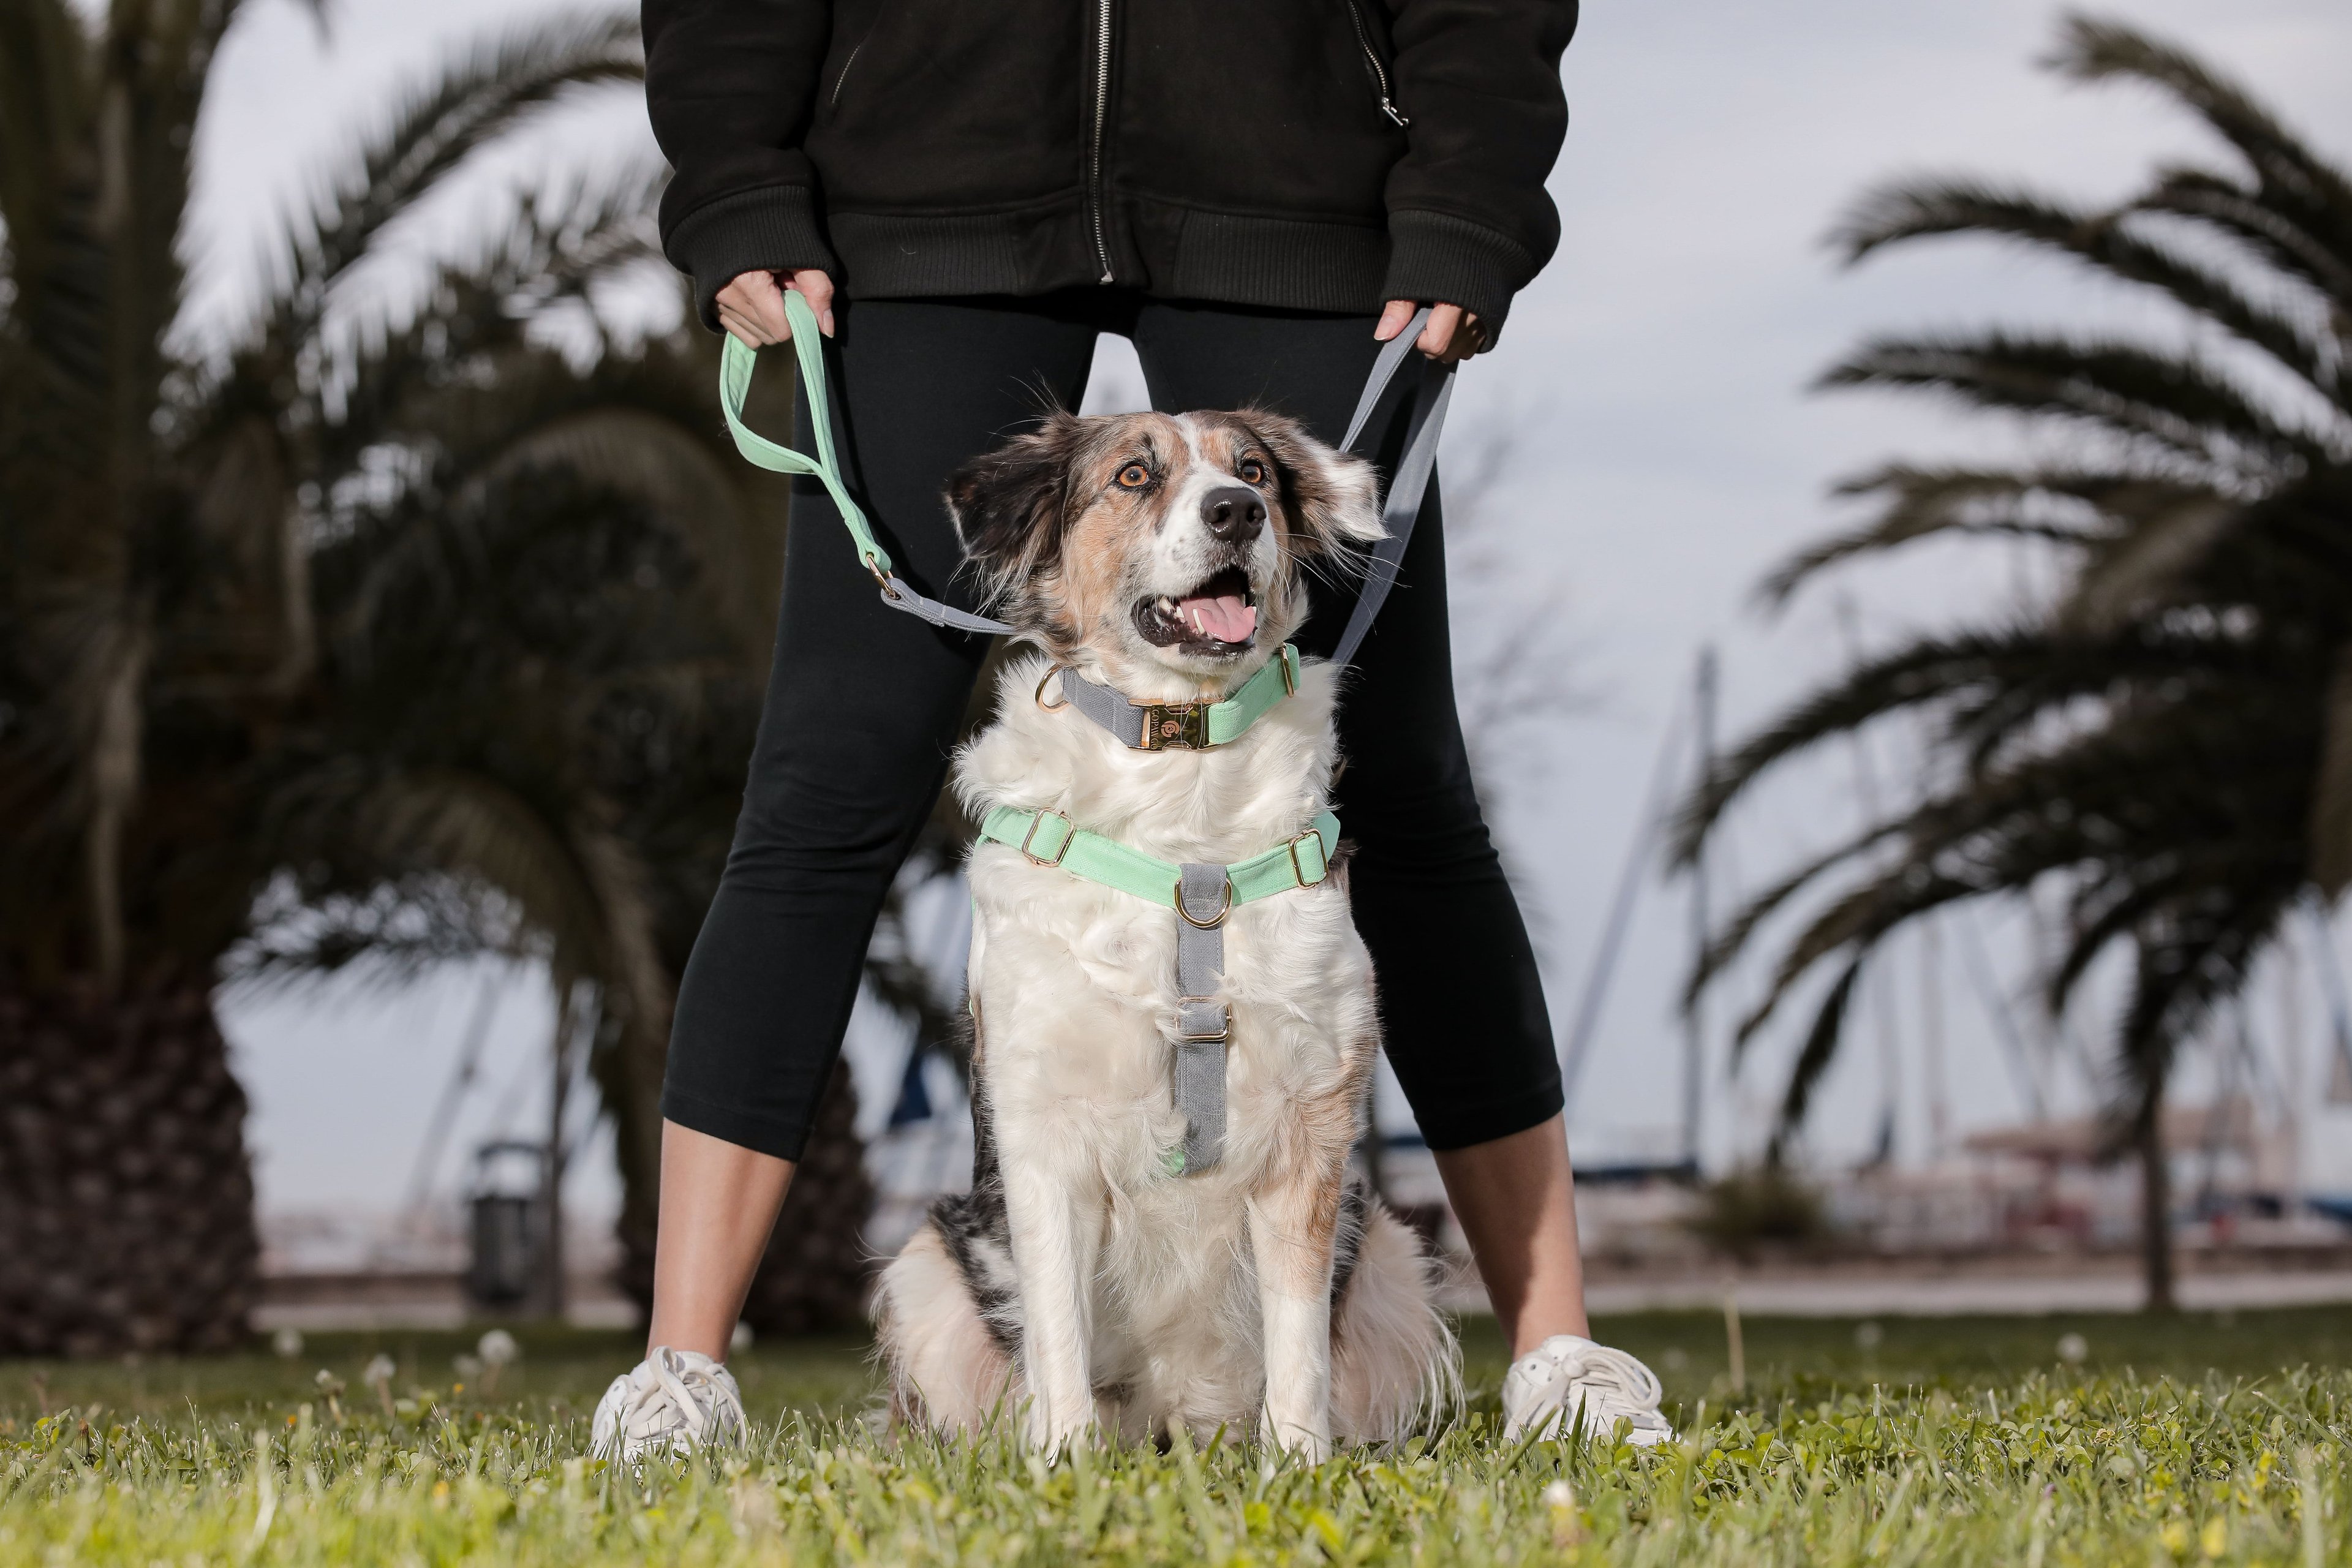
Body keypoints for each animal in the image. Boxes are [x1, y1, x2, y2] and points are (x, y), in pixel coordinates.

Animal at [875, 404, 1458, 1457]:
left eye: (1256, 472)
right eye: (1135, 476)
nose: (1235, 512)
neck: (1181, 770)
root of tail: (1176, 1423)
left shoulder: (1310, 1130)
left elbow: (1299, 1347)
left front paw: (1299, 1468)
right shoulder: (1043, 1129)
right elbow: (1058, 1333)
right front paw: (1063, 1466)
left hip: (1391, 1253)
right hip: (924, 1267)